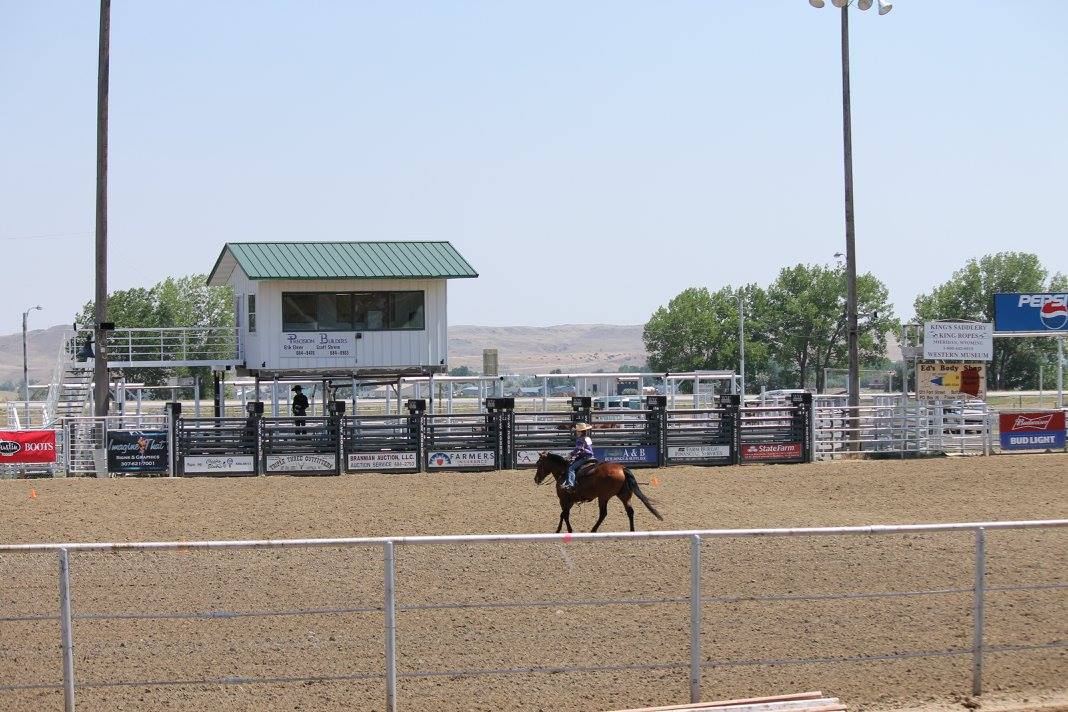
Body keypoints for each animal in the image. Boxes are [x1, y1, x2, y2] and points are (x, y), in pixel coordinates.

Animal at [533, 452, 664, 533]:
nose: (536, 479)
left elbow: (564, 514)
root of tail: (622, 468)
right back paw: (632, 531)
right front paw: (559, 530)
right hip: (624, 495)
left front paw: (568, 530)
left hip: (603, 497)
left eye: (538, 463)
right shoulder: (569, 501)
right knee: (630, 511)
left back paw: (593, 529)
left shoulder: (564, 499)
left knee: (603, 514)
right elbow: (563, 514)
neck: (563, 472)